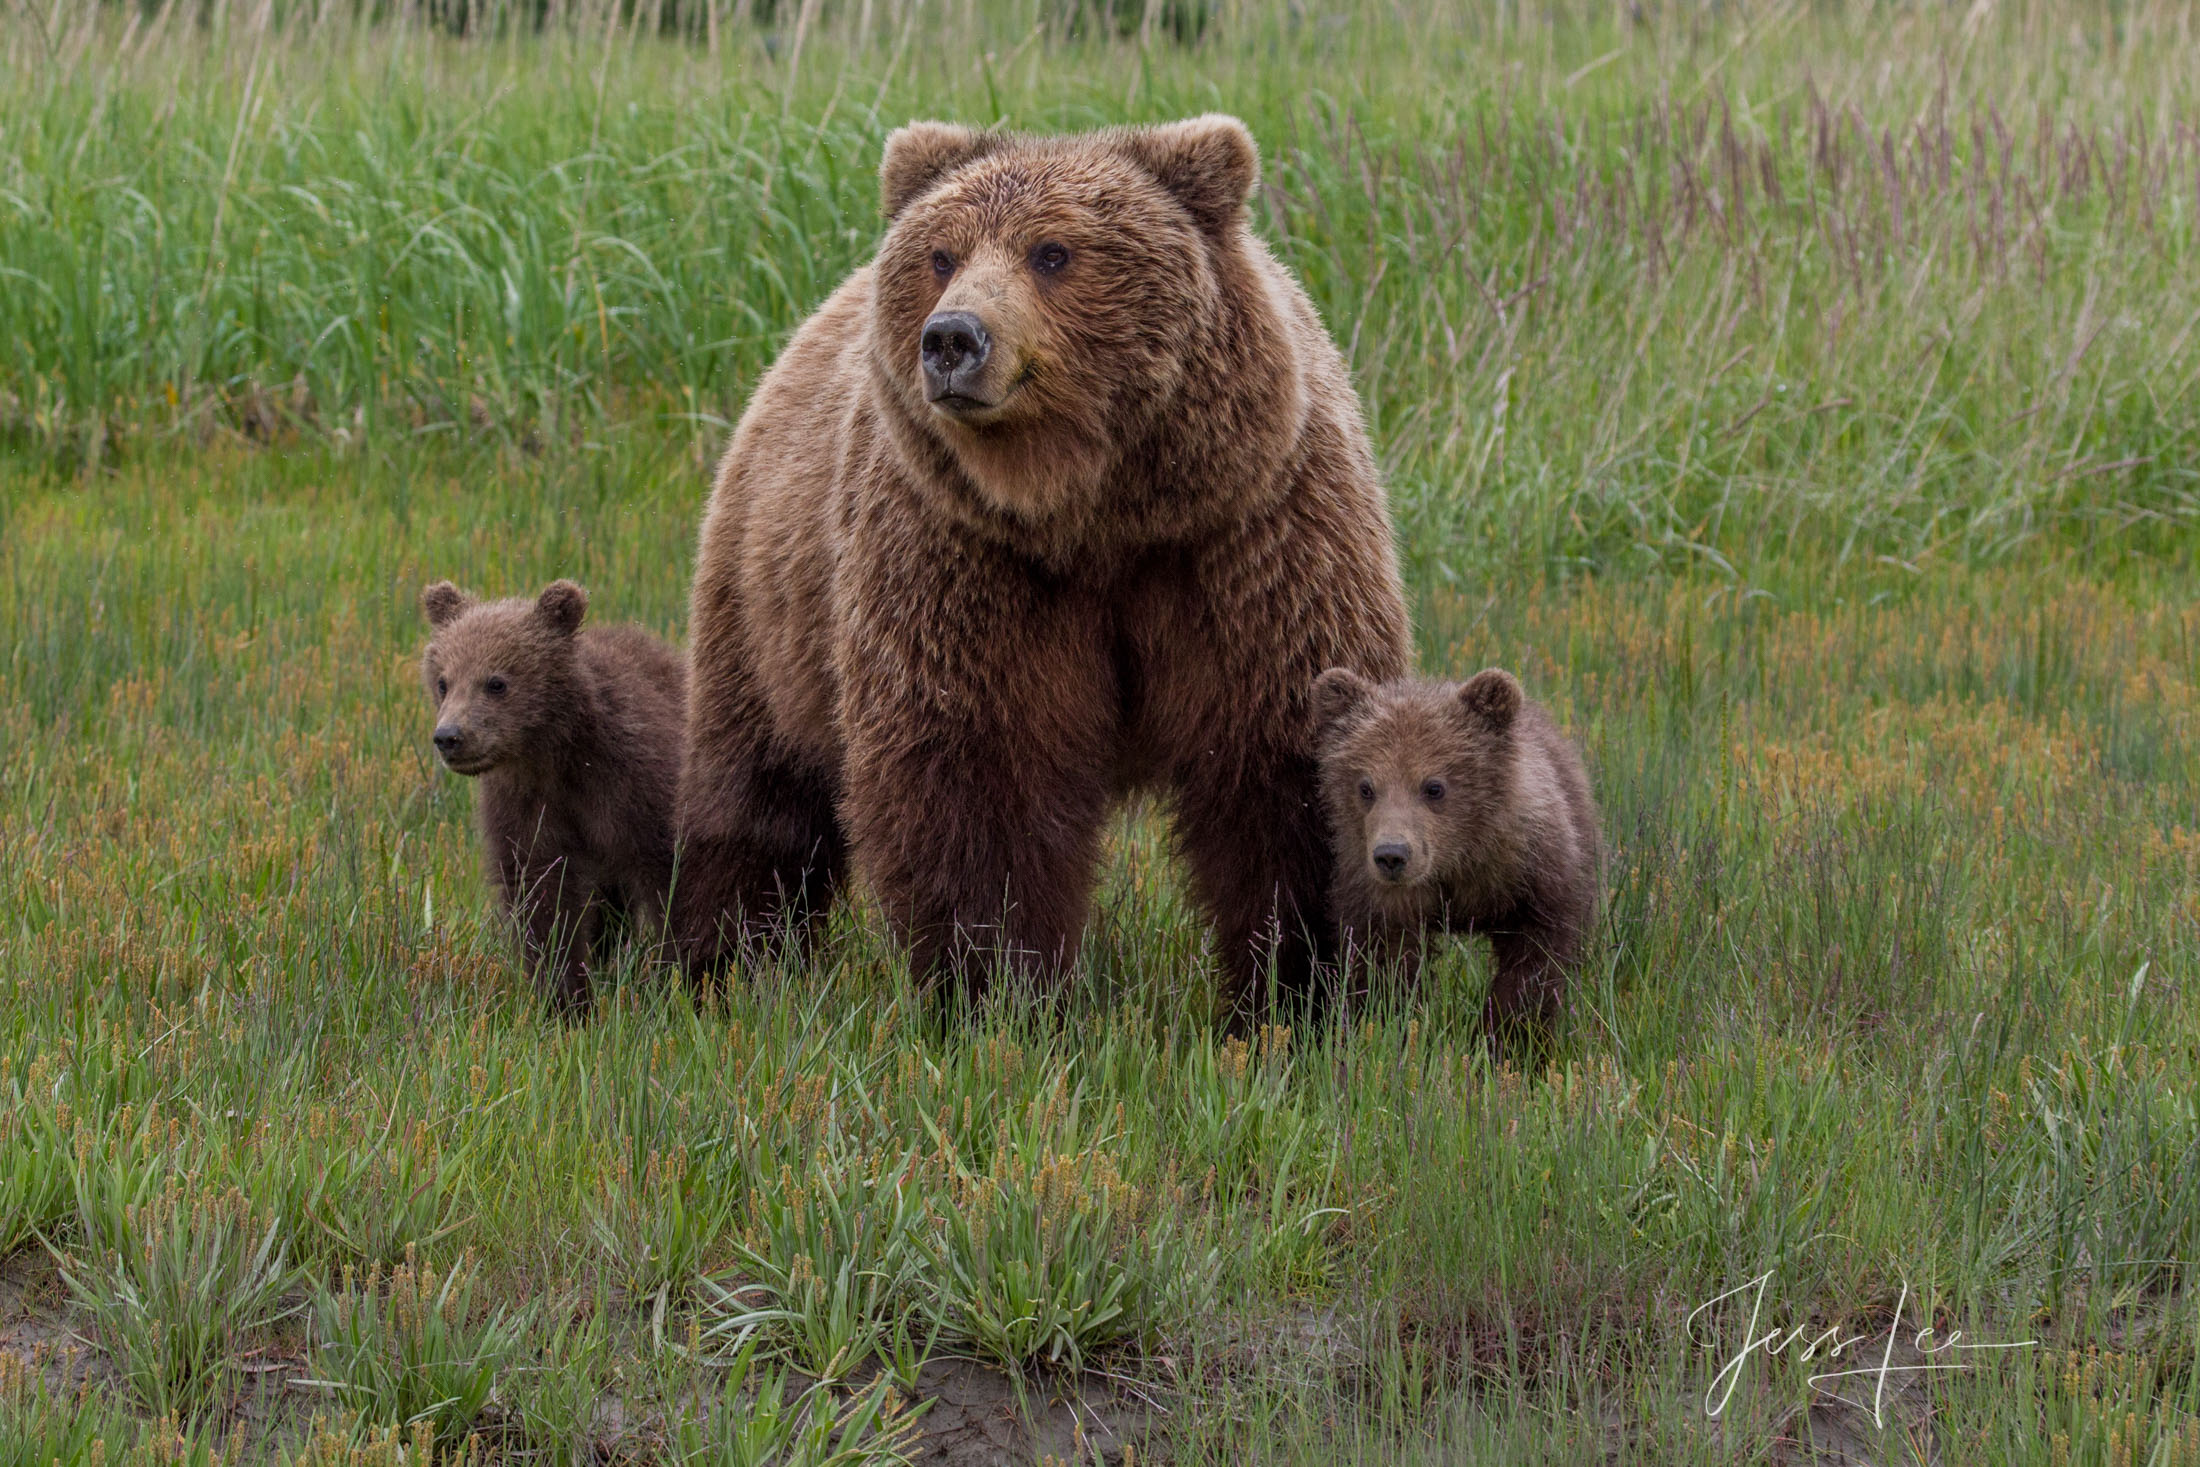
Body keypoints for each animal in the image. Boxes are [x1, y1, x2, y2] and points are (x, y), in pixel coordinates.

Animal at [668, 117, 1416, 1011]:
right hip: (766, 602)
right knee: (758, 796)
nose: (952, 338)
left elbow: (1286, 768)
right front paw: (998, 991)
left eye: (1053, 251)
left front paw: (1305, 985)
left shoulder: (1249, 544)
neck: (1095, 514)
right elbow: (979, 783)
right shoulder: (968, 563)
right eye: (942, 254)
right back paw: (730, 962)